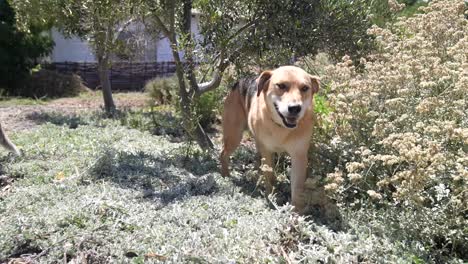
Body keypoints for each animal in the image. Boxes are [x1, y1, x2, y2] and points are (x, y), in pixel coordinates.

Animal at [221, 65, 320, 212]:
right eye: (281, 85)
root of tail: (239, 82)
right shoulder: (267, 151)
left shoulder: (299, 156)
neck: (281, 127)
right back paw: (225, 176)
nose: (295, 108)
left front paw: (296, 212)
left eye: (305, 88)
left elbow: (296, 187)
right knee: (223, 154)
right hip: (234, 136)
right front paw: (271, 197)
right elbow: (269, 176)